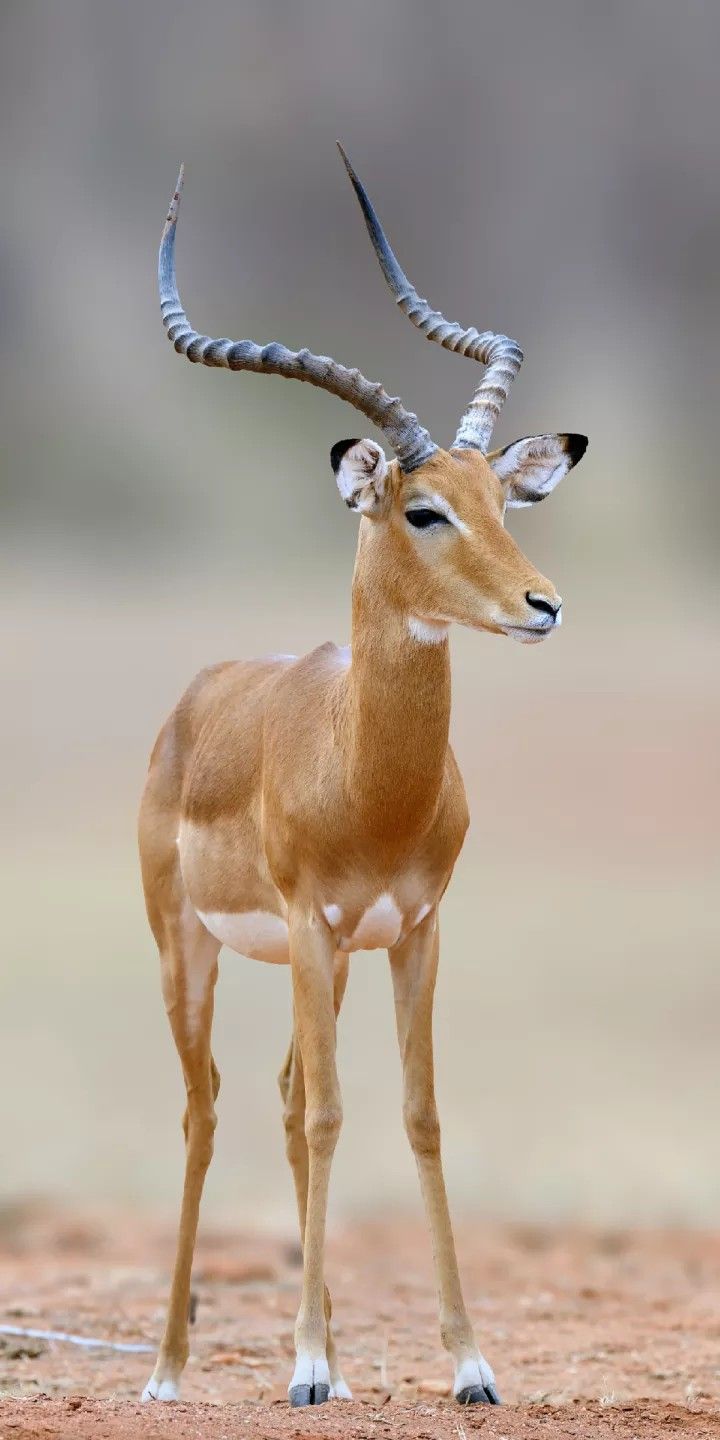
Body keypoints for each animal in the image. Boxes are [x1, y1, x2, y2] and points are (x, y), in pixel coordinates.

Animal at [138, 146, 584, 1405]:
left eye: (502, 500)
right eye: (423, 509)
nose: (543, 605)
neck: (370, 779)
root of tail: (199, 696)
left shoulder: (412, 927)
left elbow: (415, 1115)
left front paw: (469, 1364)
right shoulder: (312, 919)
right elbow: (335, 1114)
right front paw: (301, 1367)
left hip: (319, 962)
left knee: (287, 1099)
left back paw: (323, 1346)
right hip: (196, 949)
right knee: (207, 1110)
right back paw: (174, 1368)